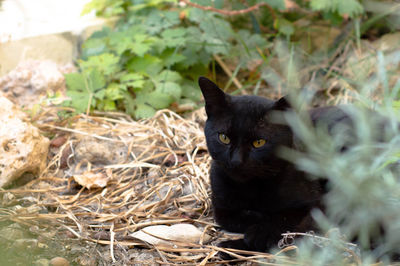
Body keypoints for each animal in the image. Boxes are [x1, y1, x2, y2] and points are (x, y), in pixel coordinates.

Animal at [198, 77, 354, 256]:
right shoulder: (221, 206)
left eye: (259, 142)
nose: (236, 161)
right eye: (224, 138)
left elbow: (285, 216)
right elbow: (236, 216)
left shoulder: (313, 202)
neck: (251, 188)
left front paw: (260, 233)